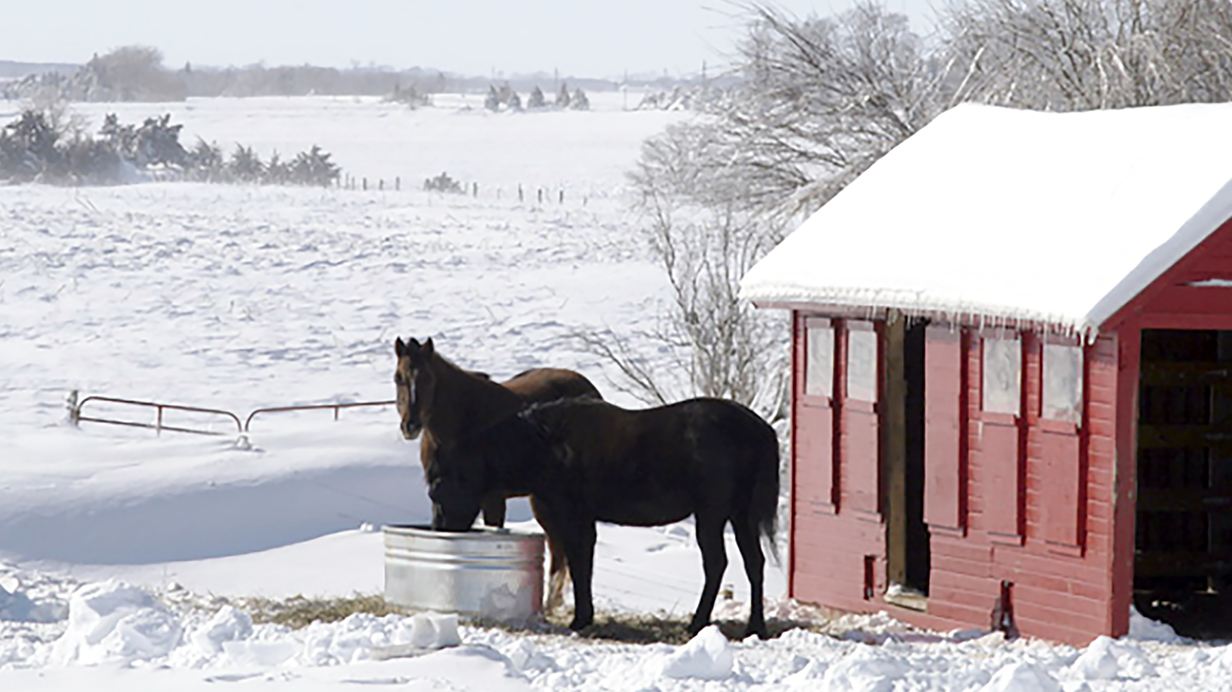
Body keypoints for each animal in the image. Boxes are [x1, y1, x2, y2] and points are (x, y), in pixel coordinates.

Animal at [425, 392, 781, 639]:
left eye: (437, 491)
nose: (440, 531)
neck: (544, 446)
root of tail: (756, 429)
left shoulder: (570, 516)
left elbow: (577, 563)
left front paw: (580, 618)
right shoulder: (584, 519)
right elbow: (584, 564)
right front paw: (586, 615)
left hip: (712, 516)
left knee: (717, 564)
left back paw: (698, 622)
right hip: (740, 515)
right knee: (754, 564)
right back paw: (756, 627)